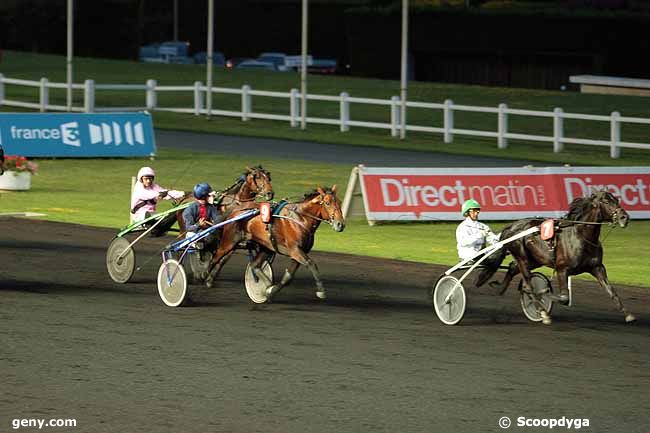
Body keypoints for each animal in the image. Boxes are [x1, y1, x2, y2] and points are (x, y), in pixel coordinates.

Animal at [204, 184, 344, 298]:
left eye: (339, 202)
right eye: (327, 203)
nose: (340, 224)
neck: (300, 218)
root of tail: (236, 210)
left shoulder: (299, 253)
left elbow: (288, 277)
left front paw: (270, 290)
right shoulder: (295, 250)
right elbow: (311, 264)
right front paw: (321, 291)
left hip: (266, 246)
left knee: (255, 265)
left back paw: (266, 285)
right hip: (229, 242)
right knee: (216, 257)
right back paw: (204, 276)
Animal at [474, 191, 632, 322]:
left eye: (616, 199)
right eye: (606, 201)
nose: (624, 217)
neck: (581, 236)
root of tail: (510, 226)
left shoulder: (597, 267)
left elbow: (611, 291)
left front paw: (628, 314)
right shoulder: (562, 269)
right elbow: (563, 297)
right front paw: (544, 293)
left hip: (534, 259)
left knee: (513, 268)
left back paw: (500, 289)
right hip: (522, 256)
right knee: (528, 285)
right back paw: (541, 311)